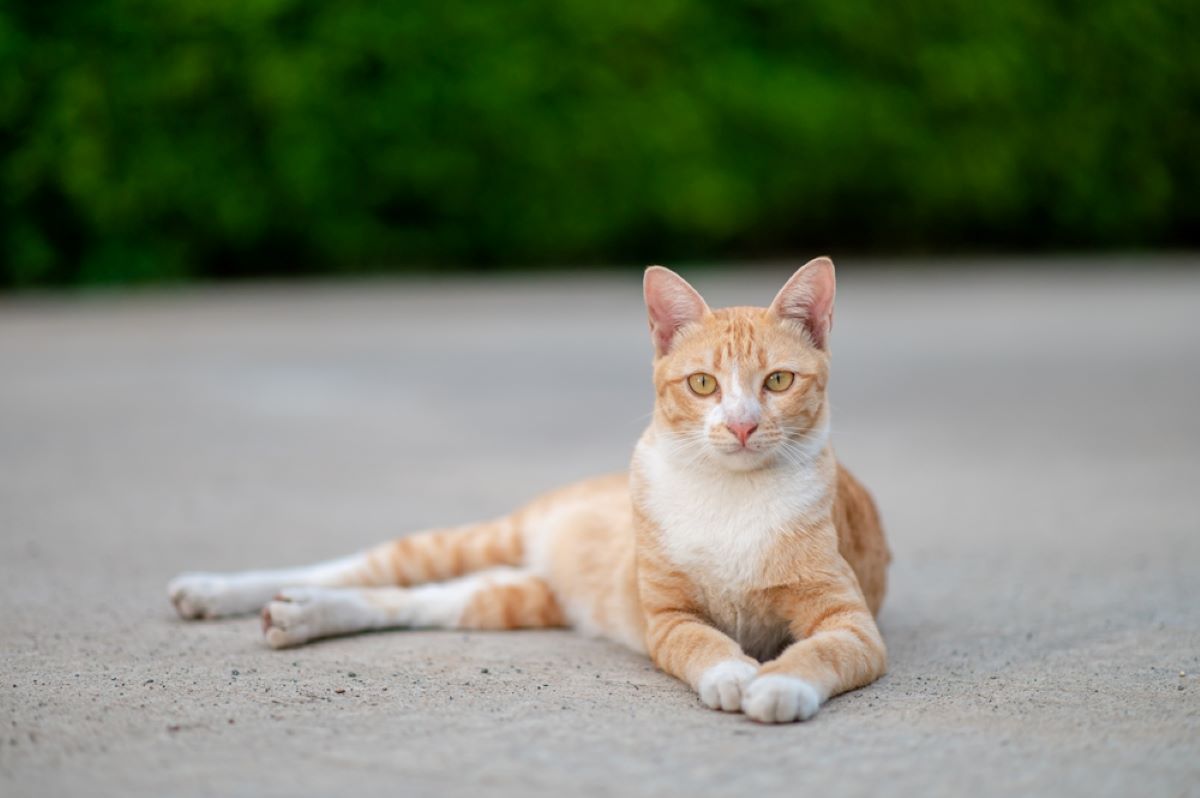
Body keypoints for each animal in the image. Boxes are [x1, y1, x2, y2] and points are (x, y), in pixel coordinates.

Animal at [164, 258, 888, 724]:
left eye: (777, 382)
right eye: (704, 384)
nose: (740, 425)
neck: (729, 497)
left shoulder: (851, 621)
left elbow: (820, 647)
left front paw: (781, 684)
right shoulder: (668, 618)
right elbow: (704, 645)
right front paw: (738, 674)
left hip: (509, 598)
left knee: (407, 599)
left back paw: (300, 614)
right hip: (479, 540)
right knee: (357, 564)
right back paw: (217, 590)